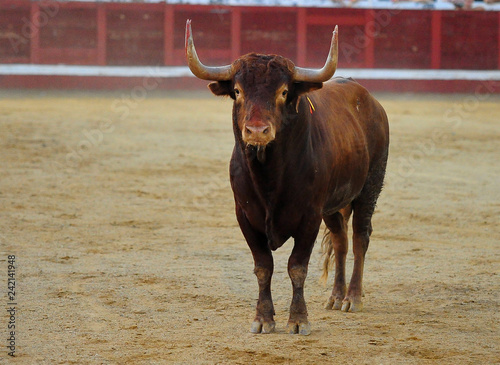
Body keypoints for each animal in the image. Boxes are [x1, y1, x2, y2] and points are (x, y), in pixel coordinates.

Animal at [186, 18, 388, 334]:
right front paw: (263, 319)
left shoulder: (309, 217)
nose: (257, 131)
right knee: (340, 240)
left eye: (283, 92)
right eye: (238, 91)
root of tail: (371, 102)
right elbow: (263, 267)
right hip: (333, 205)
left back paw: (352, 298)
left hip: (370, 187)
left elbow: (297, 267)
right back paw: (335, 296)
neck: (269, 176)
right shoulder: (245, 217)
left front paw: (298, 320)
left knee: (360, 237)